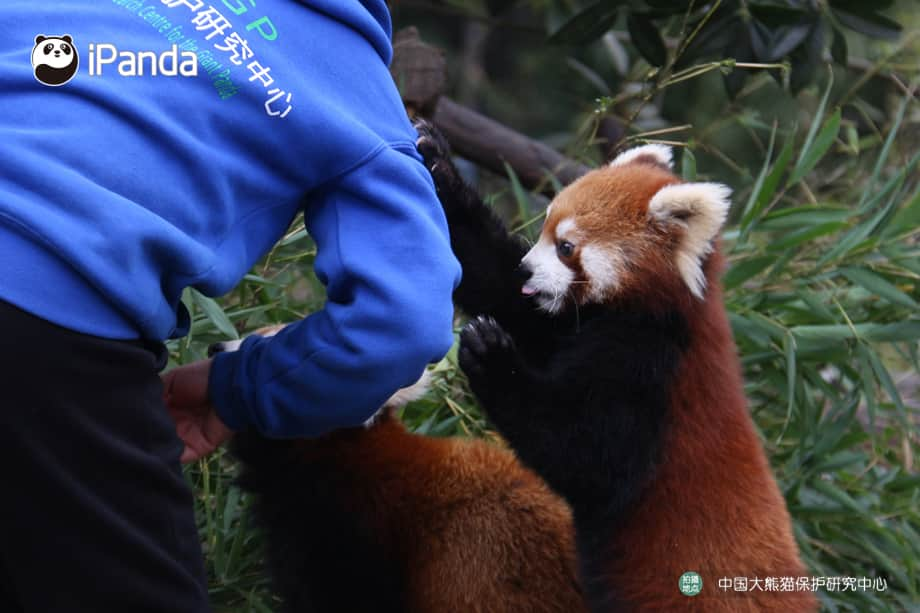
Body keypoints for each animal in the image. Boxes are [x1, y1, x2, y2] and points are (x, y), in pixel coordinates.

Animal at [416, 120, 812, 612]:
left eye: (566, 246)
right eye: (544, 229)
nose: (527, 270)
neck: (653, 313)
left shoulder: (651, 372)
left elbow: (587, 458)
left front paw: (494, 356)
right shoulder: (570, 325)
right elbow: (498, 285)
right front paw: (440, 168)